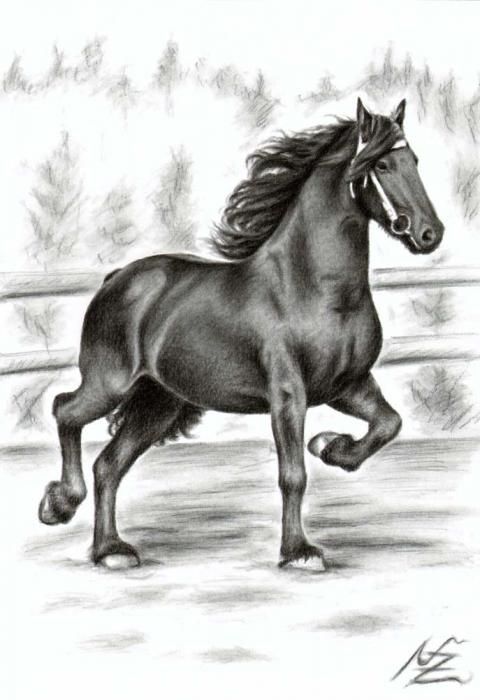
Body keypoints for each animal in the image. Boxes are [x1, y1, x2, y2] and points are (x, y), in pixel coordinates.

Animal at [38, 98, 444, 570]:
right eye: (381, 164)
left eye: (414, 160)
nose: (430, 233)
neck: (313, 286)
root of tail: (117, 278)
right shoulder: (288, 396)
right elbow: (293, 476)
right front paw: (299, 552)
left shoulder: (349, 385)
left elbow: (388, 424)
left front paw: (330, 446)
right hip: (110, 384)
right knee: (65, 410)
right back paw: (60, 504)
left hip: (159, 403)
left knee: (108, 465)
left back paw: (110, 550)